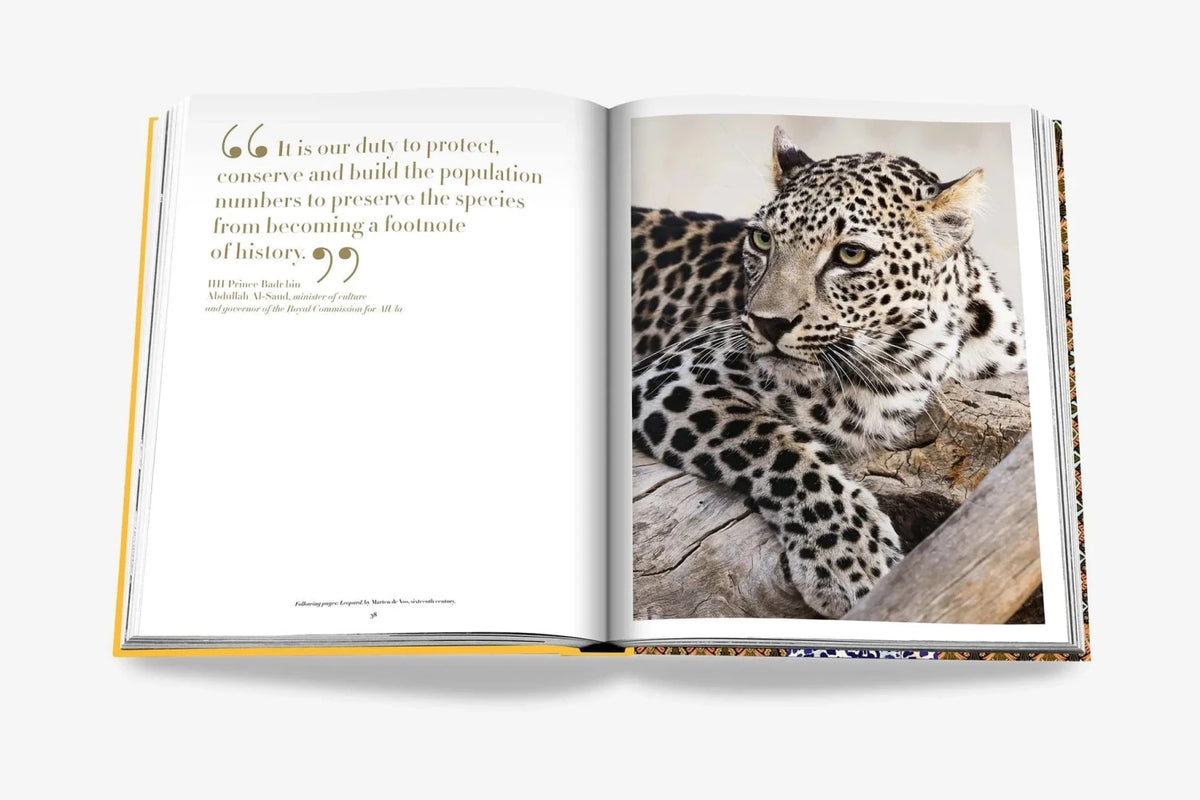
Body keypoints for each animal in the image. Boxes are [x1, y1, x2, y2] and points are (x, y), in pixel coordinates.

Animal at [631, 127, 1026, 618]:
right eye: (762, 240)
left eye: (851, 254)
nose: (768, 323)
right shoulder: (675, 375)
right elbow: (779, 447)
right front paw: (851, 561)